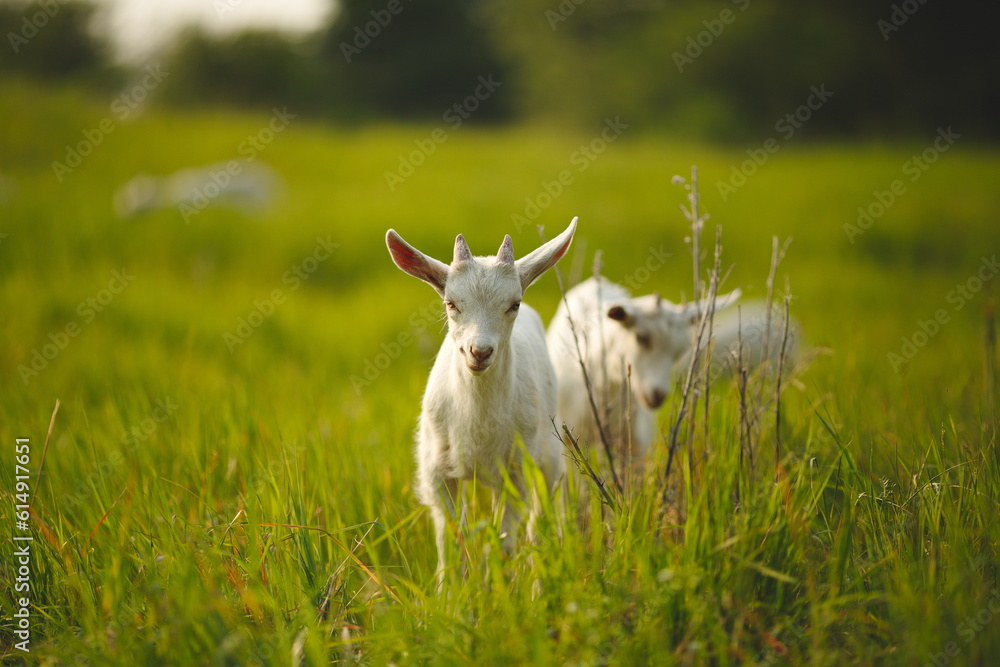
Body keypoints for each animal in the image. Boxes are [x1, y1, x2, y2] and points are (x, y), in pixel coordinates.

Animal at [385, 217, 577, 586]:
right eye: (451, 303)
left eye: (514, 304)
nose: (480, 352)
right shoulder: (436, 471)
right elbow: (450, 542)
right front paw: (449, 595)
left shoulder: (516, 469)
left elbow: (503, 543)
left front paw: (496, 592)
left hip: (546, 457)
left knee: (540, 525)